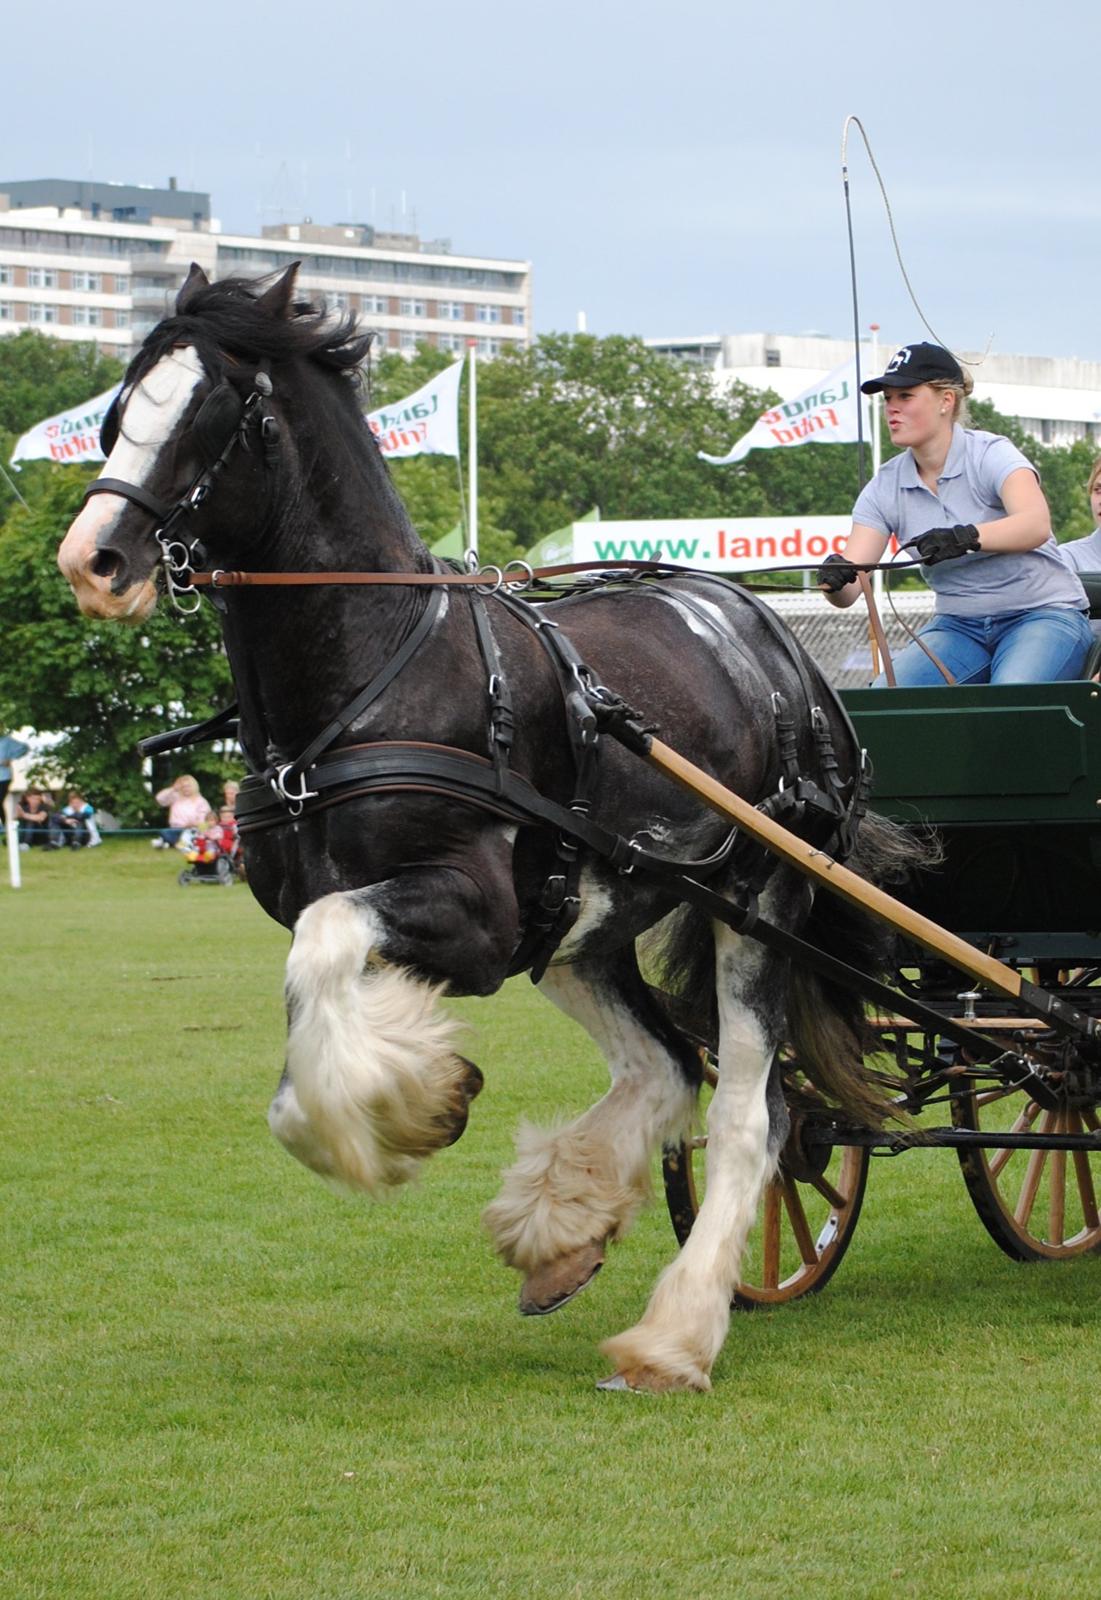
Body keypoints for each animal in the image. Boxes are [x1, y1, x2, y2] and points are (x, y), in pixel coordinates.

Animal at [62, 262, 921, 1388]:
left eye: (214, 412)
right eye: (118, 411)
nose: (92, 560)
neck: (378, 673)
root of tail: (784, 652)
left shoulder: (470, 917)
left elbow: (322, 950)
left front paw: (402, 1111)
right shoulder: (465, 919)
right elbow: (312, 995)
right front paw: (420, 1092)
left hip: (757, 902)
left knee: (751, 1112)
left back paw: (674, 1331)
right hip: (580, 925)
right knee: (661, 1065)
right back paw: (563, 1227)